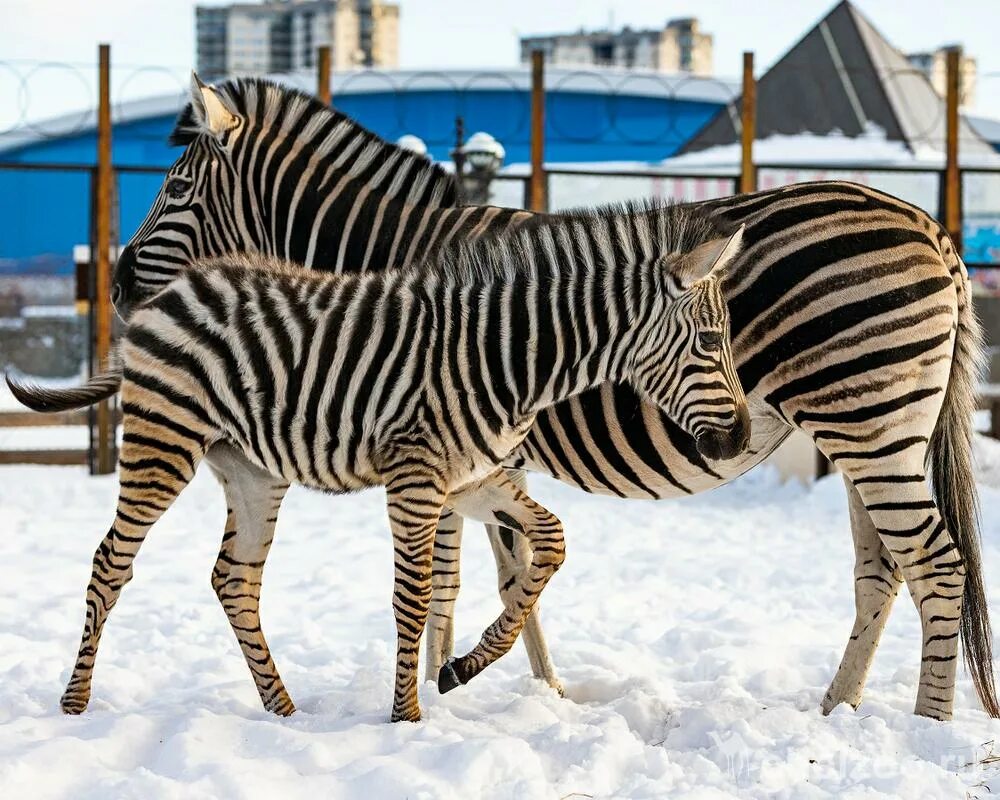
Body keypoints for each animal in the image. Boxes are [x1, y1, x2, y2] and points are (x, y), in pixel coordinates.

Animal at [9, 203, 752, 720]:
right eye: (709, 341)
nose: (742, 437)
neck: (509, 355)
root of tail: (173, 290)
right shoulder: (418, 479)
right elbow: (415, 596)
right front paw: (407, 716)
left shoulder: (474, 480)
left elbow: (549, 544)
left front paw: (463, 669)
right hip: (164, 440)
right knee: (112, 562)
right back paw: (73, 705)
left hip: (251, 469)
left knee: (235, 579)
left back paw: (284, 711)